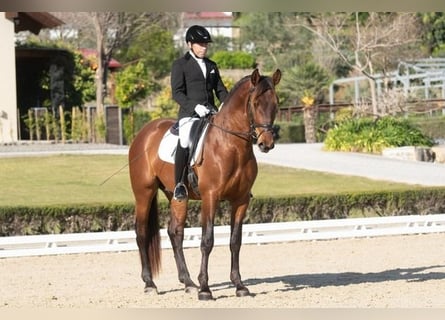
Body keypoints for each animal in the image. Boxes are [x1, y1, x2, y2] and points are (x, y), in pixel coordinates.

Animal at [128, 68, 280, 300]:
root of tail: (145, 132)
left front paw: (239, 286)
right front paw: (205, 289)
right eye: (255, 103)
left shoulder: (241, 200)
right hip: (144, 193)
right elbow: (207, 240)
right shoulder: (211, 196)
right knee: (142, 232)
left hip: (176, 196)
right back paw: (150, 284)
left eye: (276, 103)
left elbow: (235, 241)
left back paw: (188, 282)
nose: (266, 144)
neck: (232, 146)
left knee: (175, 232)